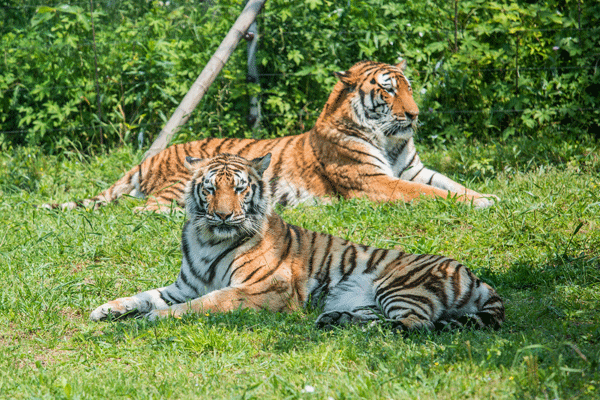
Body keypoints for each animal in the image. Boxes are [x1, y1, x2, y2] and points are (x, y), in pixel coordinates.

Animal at [42, 59, 500, 212]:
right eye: (388, 90)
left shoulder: (414, 169)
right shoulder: (376, 183)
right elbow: (430, 194)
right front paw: (480, 203)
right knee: (143, 209)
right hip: (178, 186)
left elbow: (449, 184)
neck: (389, 139)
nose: (414, 114)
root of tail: (150, 157)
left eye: (407, 86)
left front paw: (487, 196)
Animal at [89, 153, 504, 332]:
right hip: (371, 298)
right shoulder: (182, 286)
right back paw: (334, 320)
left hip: (400, 286)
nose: (222, 215)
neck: (207, 239)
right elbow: (143, 294)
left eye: (239, 188)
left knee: (415, 325)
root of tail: (476, 276)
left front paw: (156, 318)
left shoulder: (262, 287)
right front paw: (106, 309)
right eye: (210, 189)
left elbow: (206, 303)